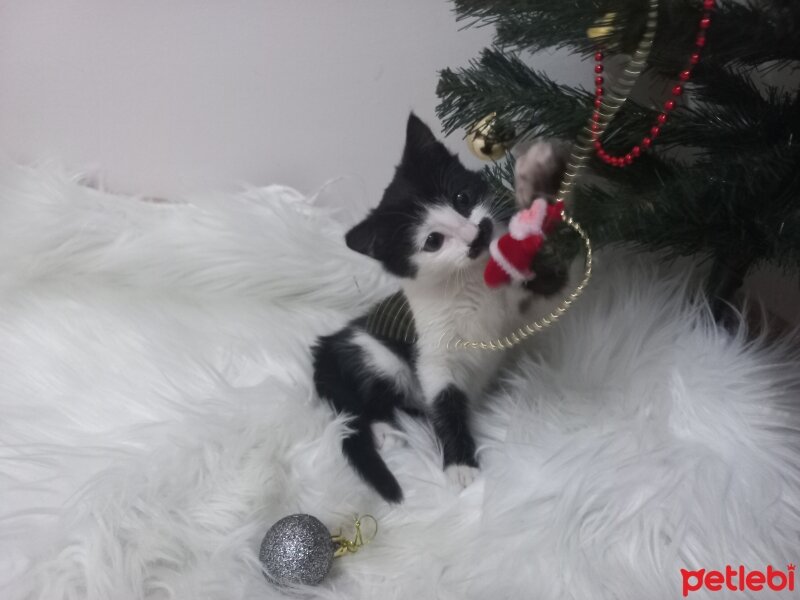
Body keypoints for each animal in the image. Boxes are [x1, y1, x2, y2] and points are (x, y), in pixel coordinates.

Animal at [310, 112, 564, 502]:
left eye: (461, 197)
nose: (476, 234)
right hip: (377, 355)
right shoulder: (433, 350)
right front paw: (460, 464)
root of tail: (329, 343)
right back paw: (385, 431)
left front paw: (547, 264)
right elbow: (444, 400)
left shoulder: (513, 312)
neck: (470, 282)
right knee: (367, 402)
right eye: (433, 241)